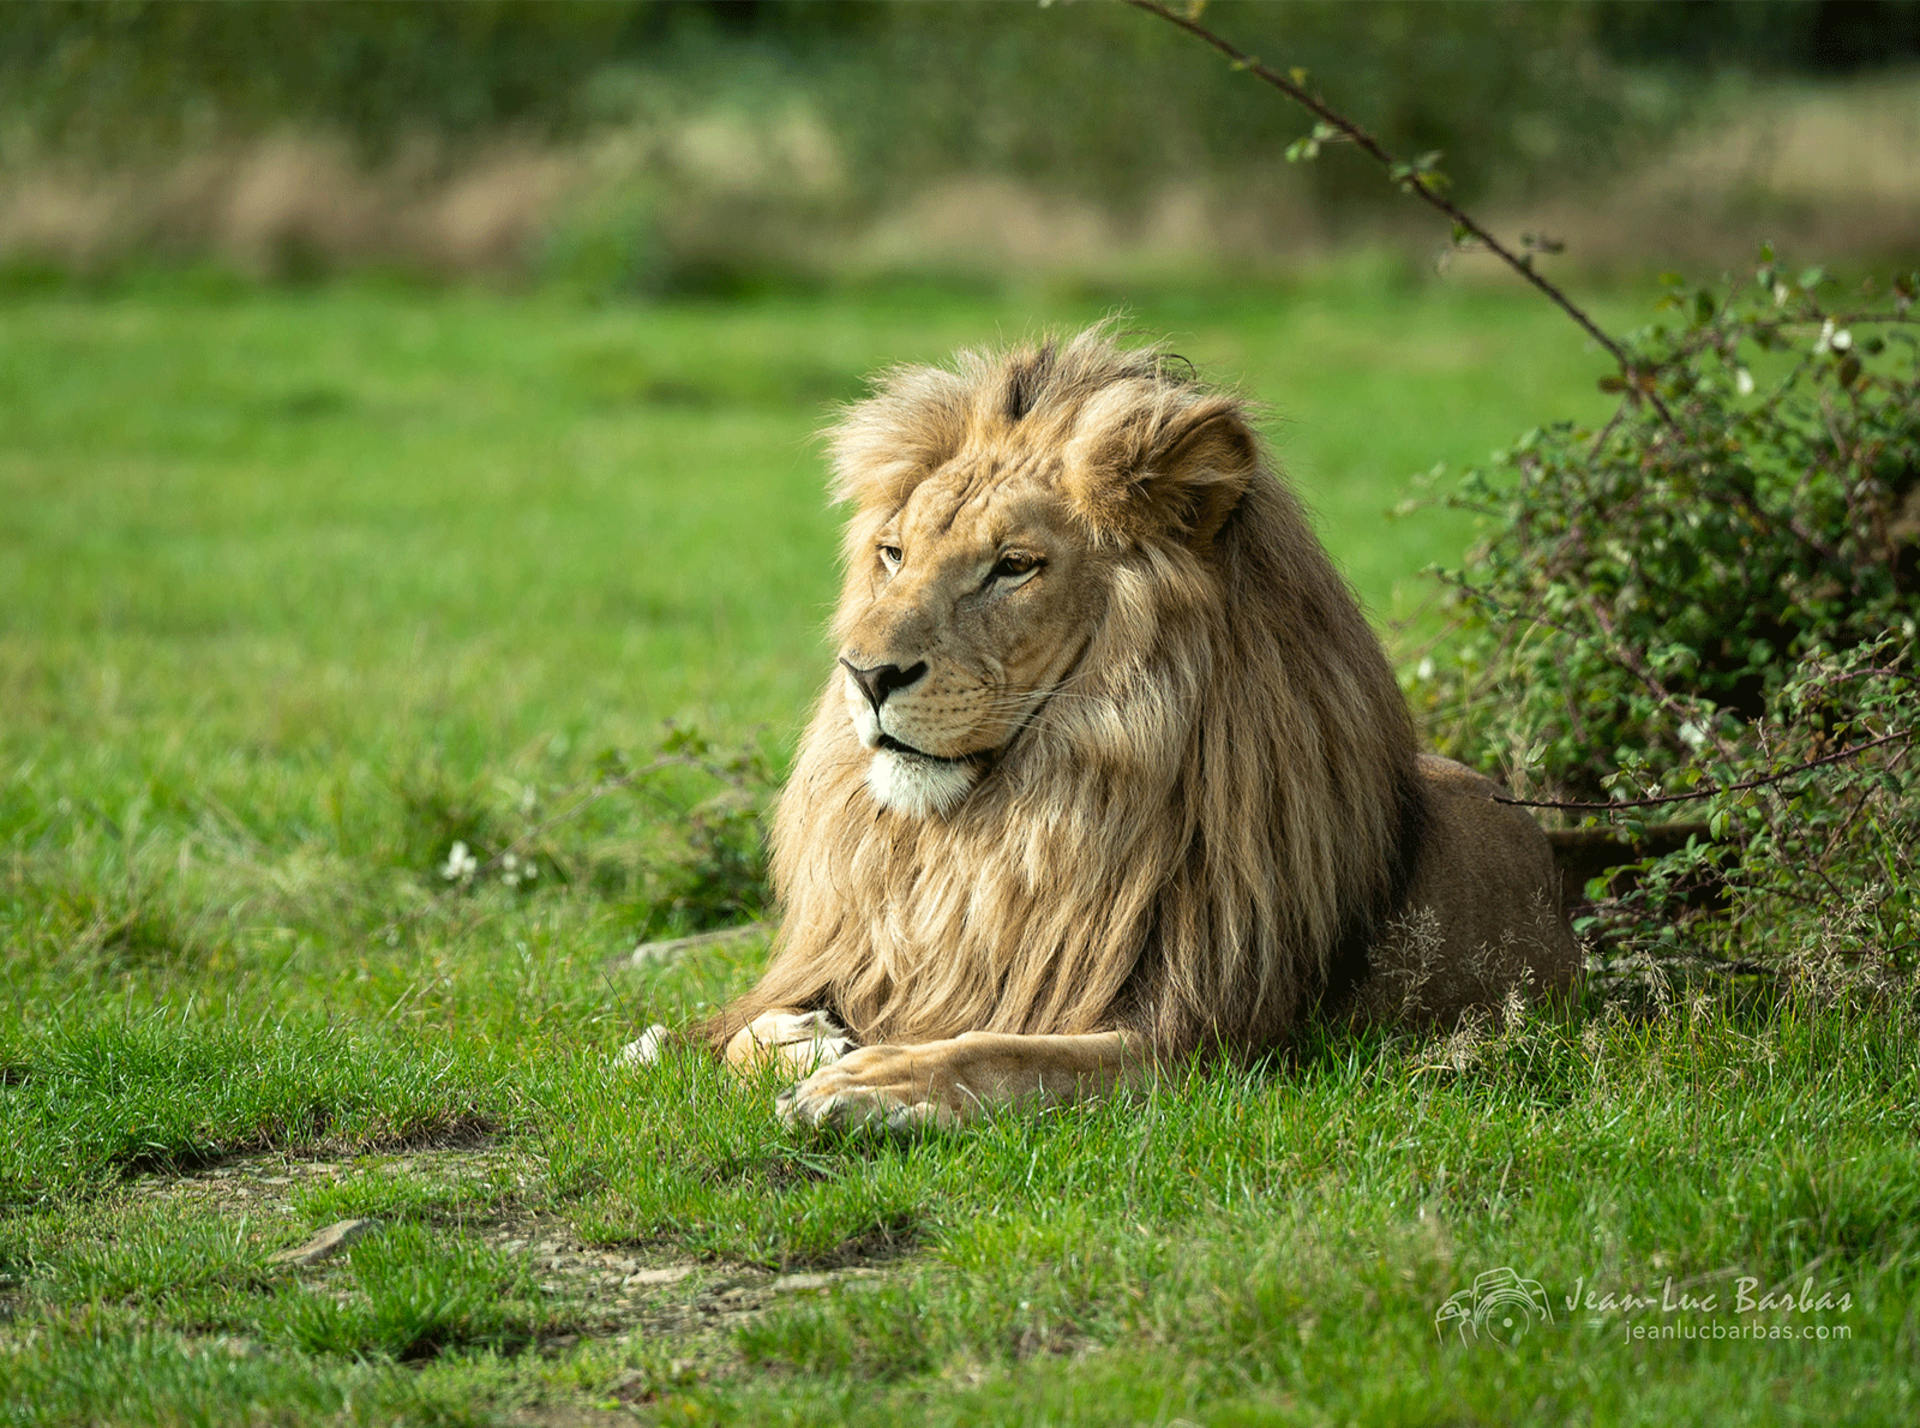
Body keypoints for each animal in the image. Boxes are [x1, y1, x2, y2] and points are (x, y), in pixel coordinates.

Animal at [689, 325, 1577, 1129]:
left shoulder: (1205, 1041)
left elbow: (1003, 1053)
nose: (867, 675)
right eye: (894, 554)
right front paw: (808, 1041)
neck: (995, 838)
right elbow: (734, 1038)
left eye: (1013, 567)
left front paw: (879, 1081)